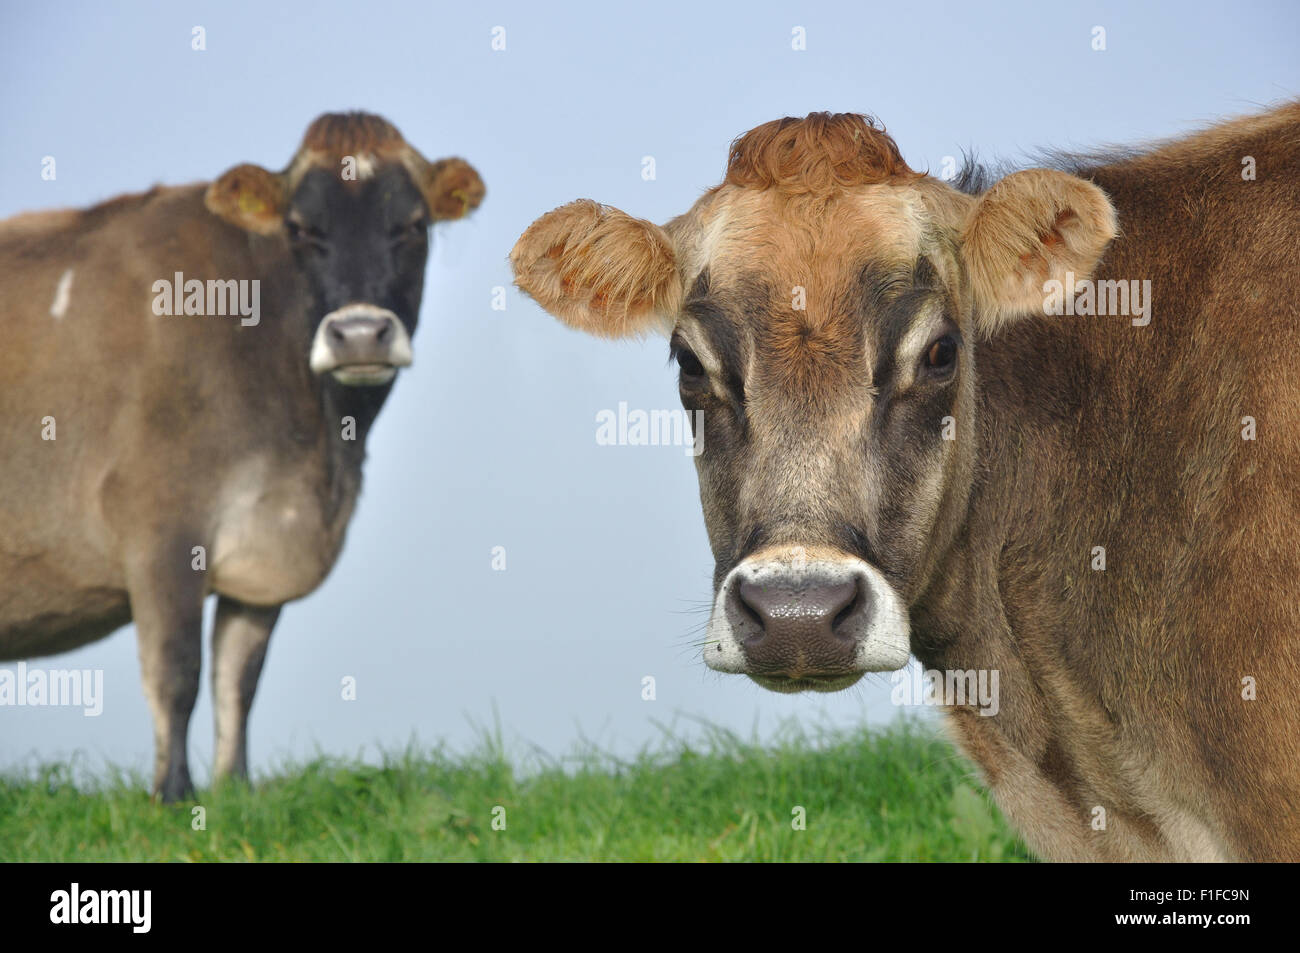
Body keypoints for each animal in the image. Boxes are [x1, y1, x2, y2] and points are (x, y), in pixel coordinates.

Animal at [0, 112, 484, 801]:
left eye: (413, 225)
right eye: (300, 228)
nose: (360, 334)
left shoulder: (265, 545)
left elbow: (239, 678)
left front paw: (235, 790)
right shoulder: (159, 525)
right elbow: (176, 671)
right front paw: (174, 796)